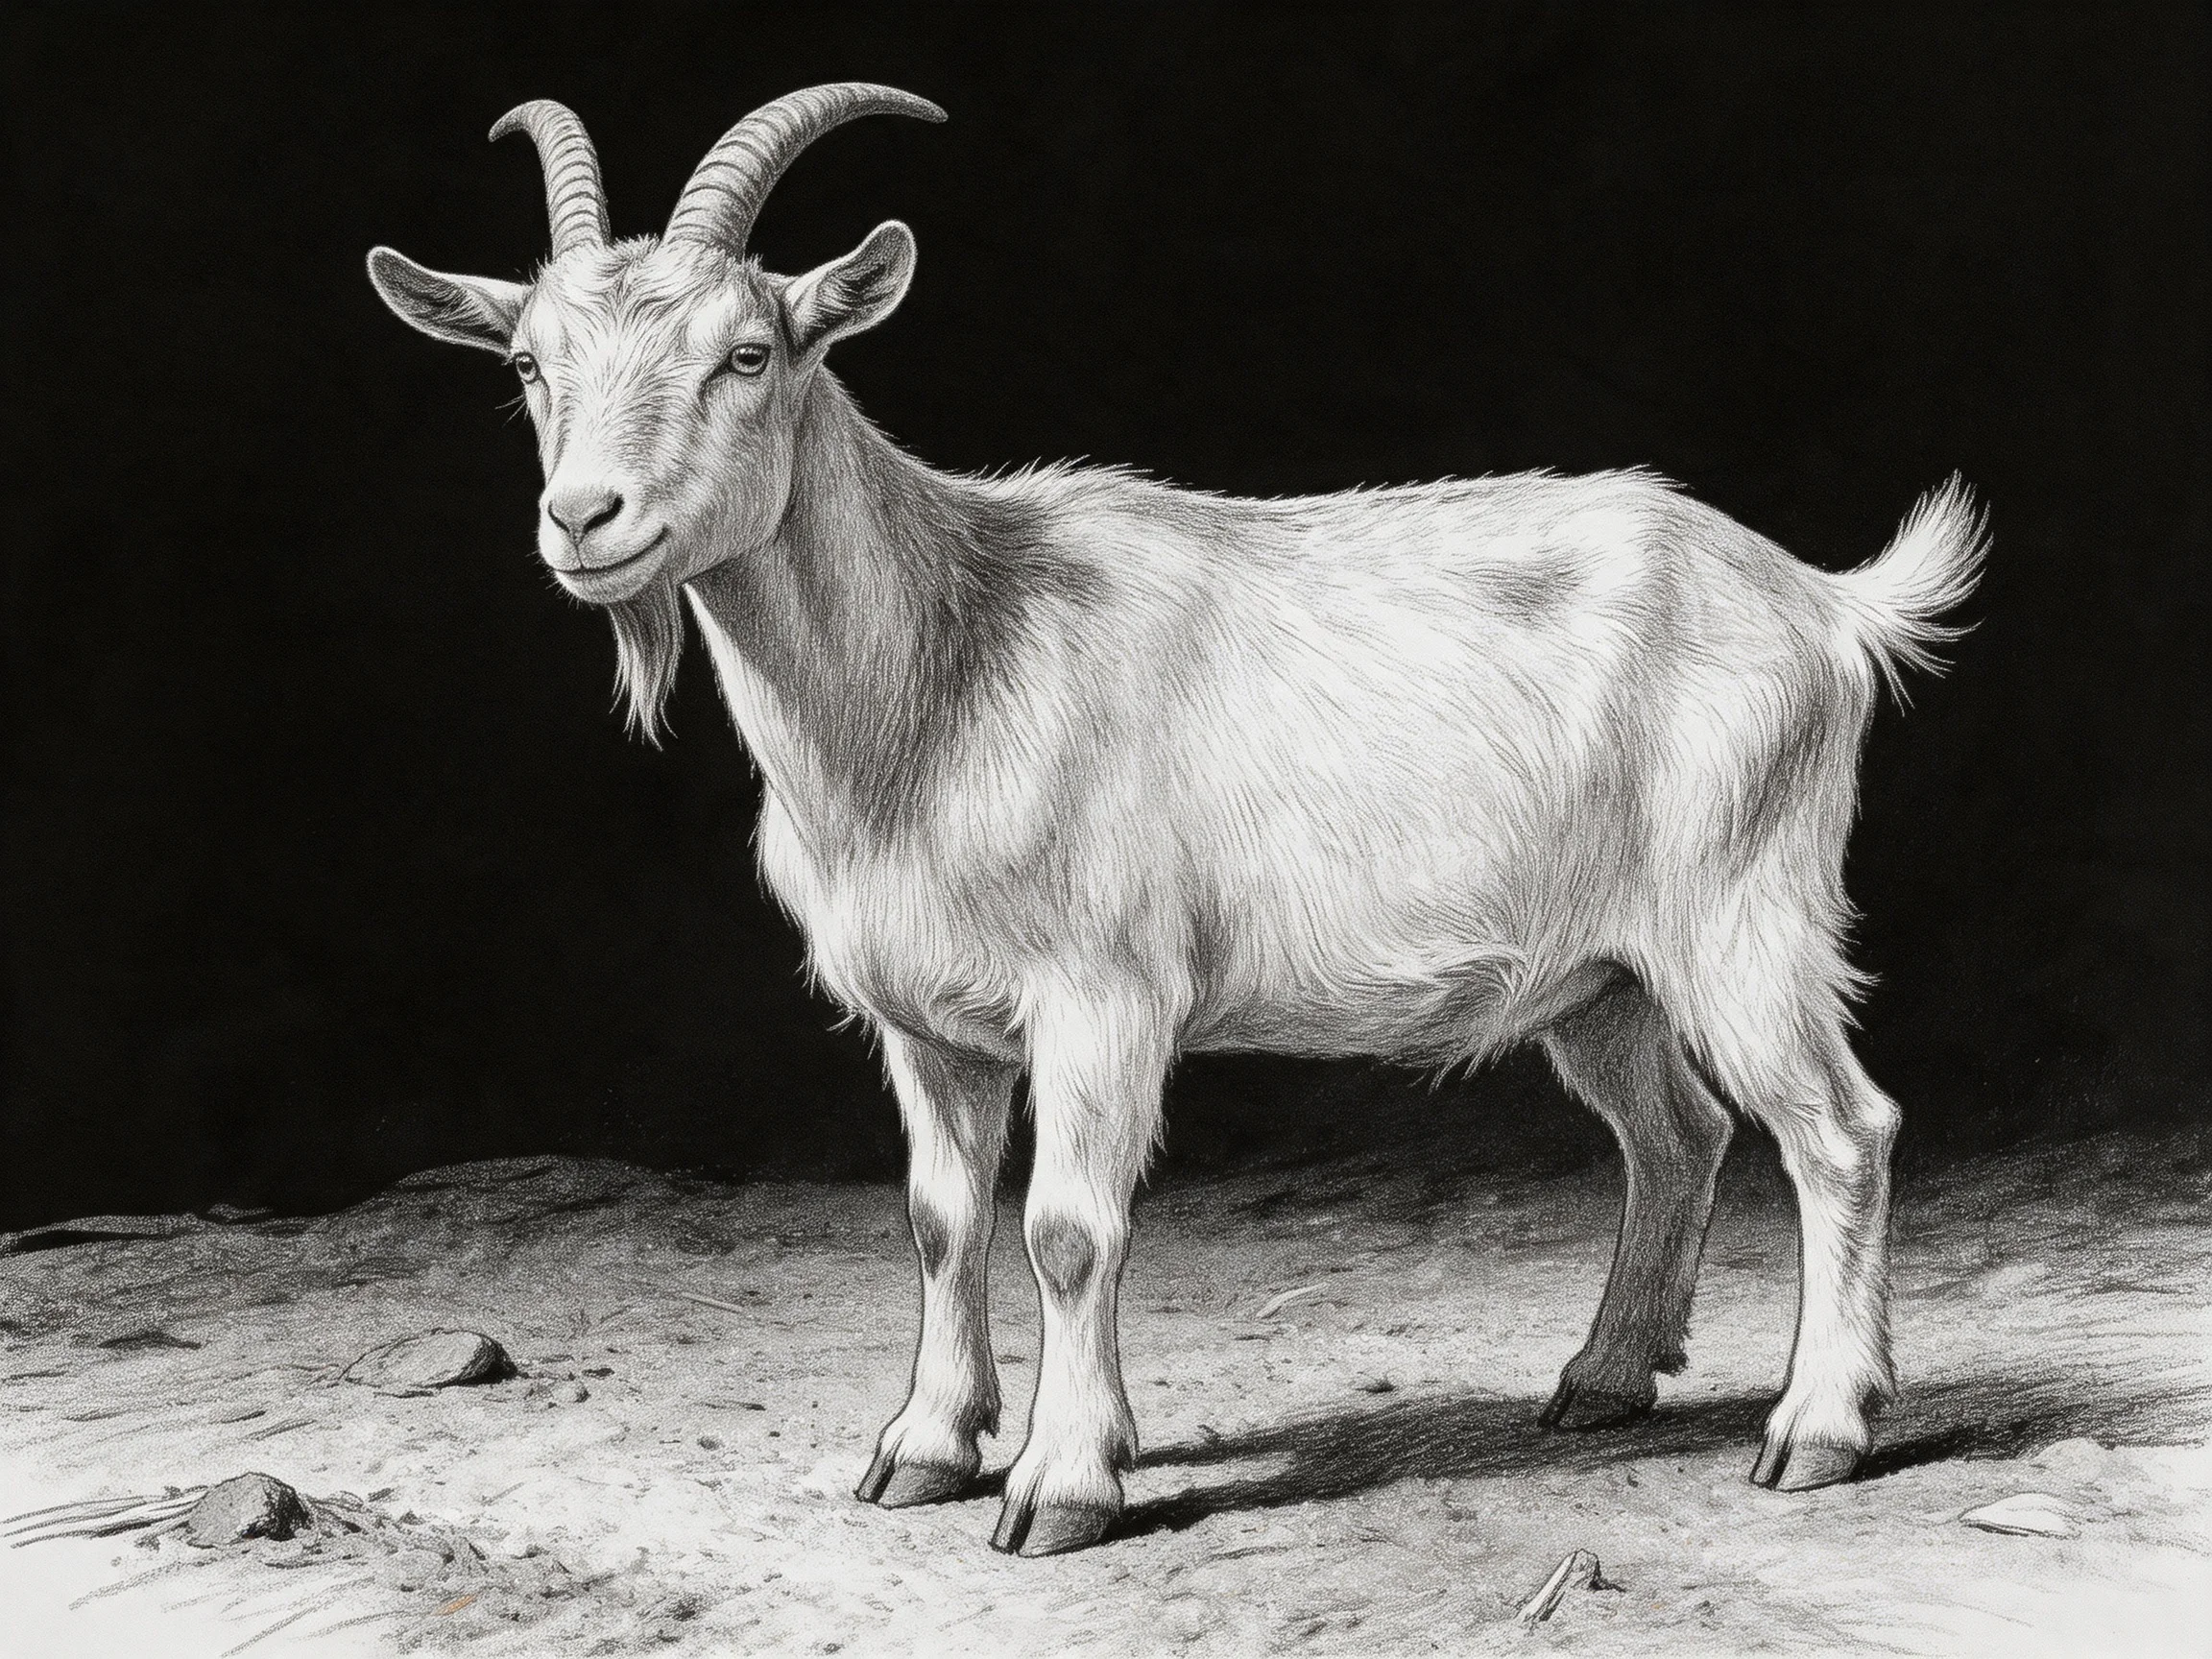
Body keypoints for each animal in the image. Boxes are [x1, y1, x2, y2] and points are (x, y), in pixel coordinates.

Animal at [368, 85, 1985, 1557]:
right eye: (528, 363)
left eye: (748, 354)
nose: (584, 519)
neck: (948, 659)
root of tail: (1825, 603)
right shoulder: (926, 1026)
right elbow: (941, 1220)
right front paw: (923, 1450)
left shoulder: (1104, 998)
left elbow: (1068, 1229)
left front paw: (1060, 1487)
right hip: (1602, 976)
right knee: (1678, 1134)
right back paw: (1600, 1380)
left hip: (1742, 914)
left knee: (1839, 1132)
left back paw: (1818, 1432)